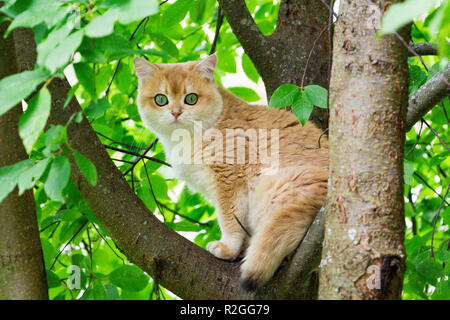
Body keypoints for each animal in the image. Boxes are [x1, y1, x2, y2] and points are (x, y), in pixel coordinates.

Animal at [134, 55, 326, 292]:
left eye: (191, 99)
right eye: (161, 99)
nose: (176, 112)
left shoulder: (230, 180)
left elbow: (229, 219)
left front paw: (228, 249)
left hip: (274, 188)